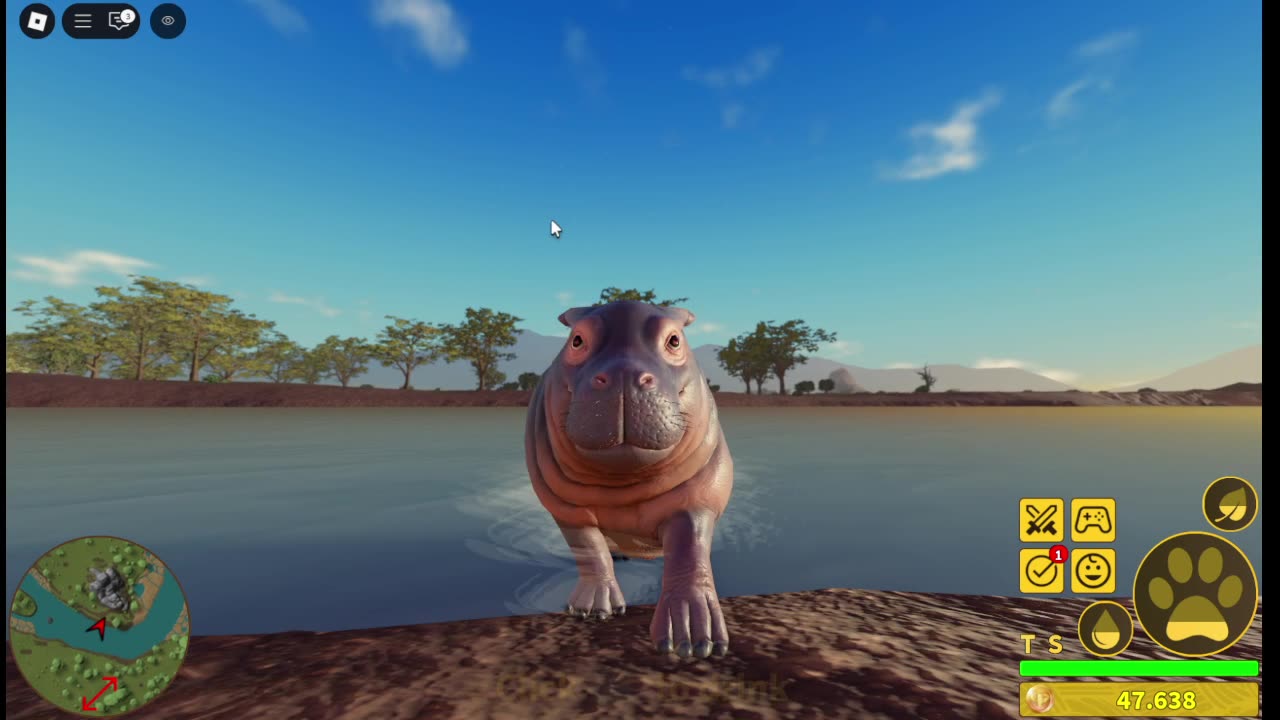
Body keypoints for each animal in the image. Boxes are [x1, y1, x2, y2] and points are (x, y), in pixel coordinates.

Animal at [525, 300, 734, 658]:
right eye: (577, 340)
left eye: (674, 340)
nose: (624, 374)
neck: (621, 484)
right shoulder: (566, 508)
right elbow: (588, 547)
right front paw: (591, 610)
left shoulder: (698, 497)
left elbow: (689, 550)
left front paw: (694, 640)